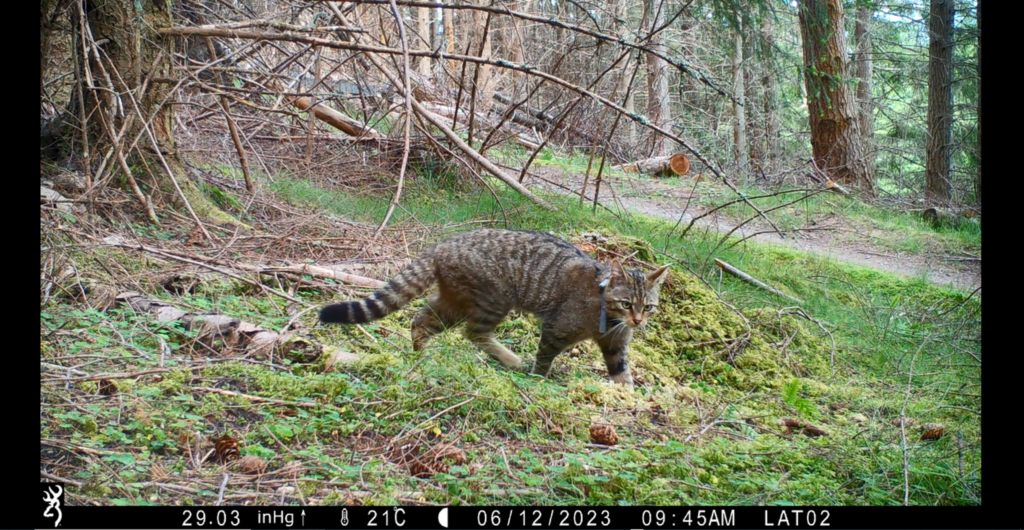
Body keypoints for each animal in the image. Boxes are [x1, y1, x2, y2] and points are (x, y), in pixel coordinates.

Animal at [321, 228, 671, 386]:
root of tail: (445, 243)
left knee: (420, 322)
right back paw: (510, 359)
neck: (609, 319)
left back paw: (421, 357)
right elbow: (544, 358)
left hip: (454, 302)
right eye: (626, 303)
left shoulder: (616, 346)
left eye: (649, 307)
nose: (638, 321)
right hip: (494, 299)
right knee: (473, 333)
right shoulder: (556, 328)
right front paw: (539, 377)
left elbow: (622, 372)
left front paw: (628, 396)